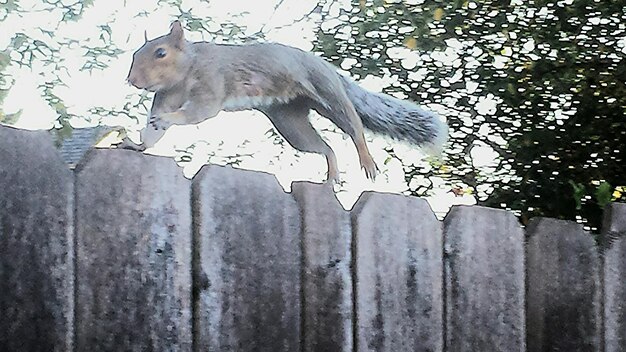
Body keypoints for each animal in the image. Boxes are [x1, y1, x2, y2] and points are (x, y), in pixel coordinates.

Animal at [123, 20, 444, 183]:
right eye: (136, 52)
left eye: (161, 53)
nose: (131, 80)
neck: (186, 70)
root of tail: (330, 70)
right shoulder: (166, 97)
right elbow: (152, 134)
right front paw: (138, 143)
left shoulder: (211, 83)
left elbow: (200, 112)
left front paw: (168, 119)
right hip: (290, 123)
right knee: (325, 147)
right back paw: (332, 174)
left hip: (329, 95)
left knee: (354, 127)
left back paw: (366, 160)